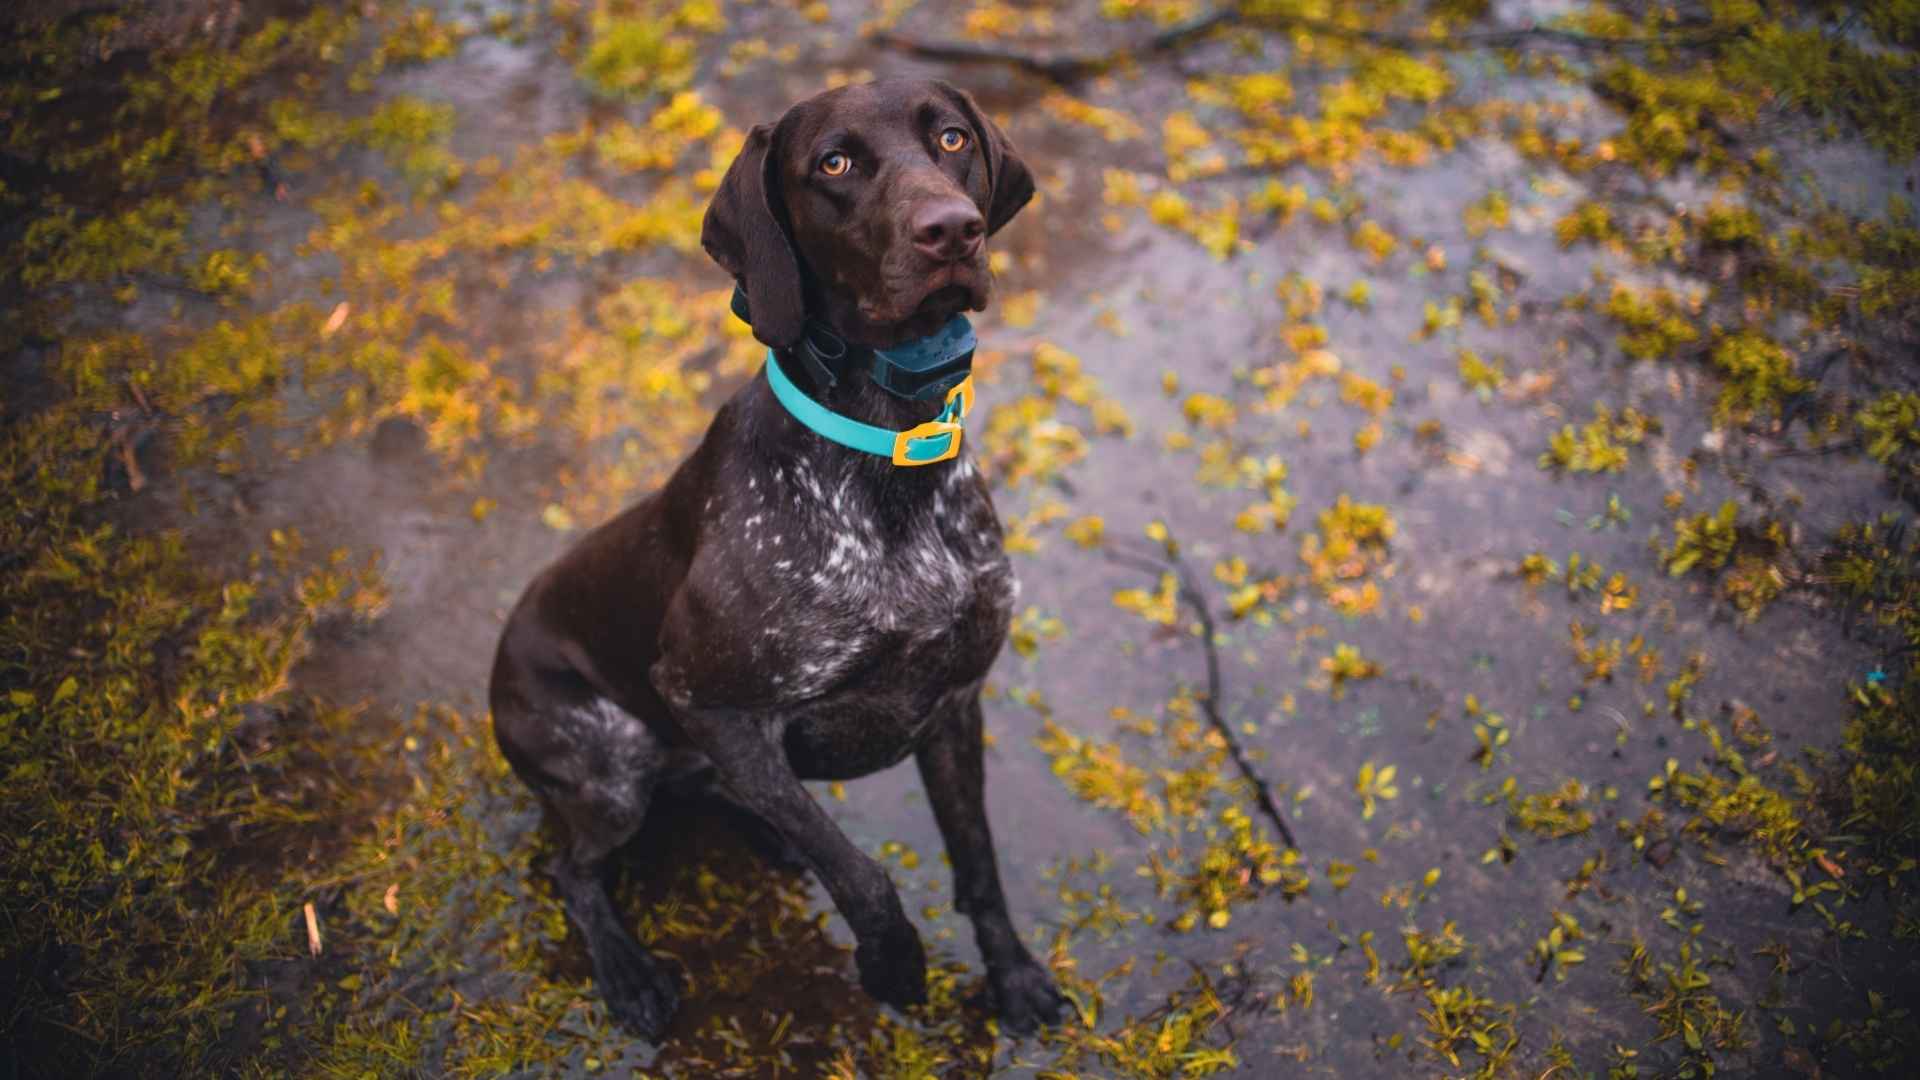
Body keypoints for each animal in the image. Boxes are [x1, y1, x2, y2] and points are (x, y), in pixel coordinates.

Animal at [487, 77, 1067, 1037]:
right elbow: (861, 872)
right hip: (612, 765)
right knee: (576, 869)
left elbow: (978, 862)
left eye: (951, 139)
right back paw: (630, 973)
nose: (951, 230)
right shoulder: (707, 700)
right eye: (833, 163)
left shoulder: (953, 704)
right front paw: (893, 963)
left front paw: (1014, 975)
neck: (886, 451)